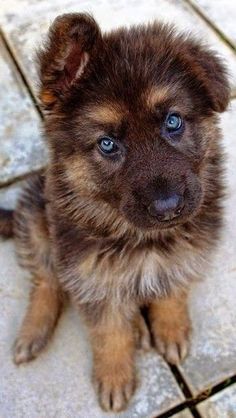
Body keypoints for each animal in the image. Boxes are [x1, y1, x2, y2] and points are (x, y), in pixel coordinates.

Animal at [0, 12, 230, 412]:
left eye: (173, 121)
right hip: (36, 215)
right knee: (46, 281)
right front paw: (114, 375)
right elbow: (108, 330)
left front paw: (171, 327)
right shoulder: (89, 275)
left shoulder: (186, 253)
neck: (142, 239)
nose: (169, 209)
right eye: (107, 144)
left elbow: (172, 291)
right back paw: (34, 331)